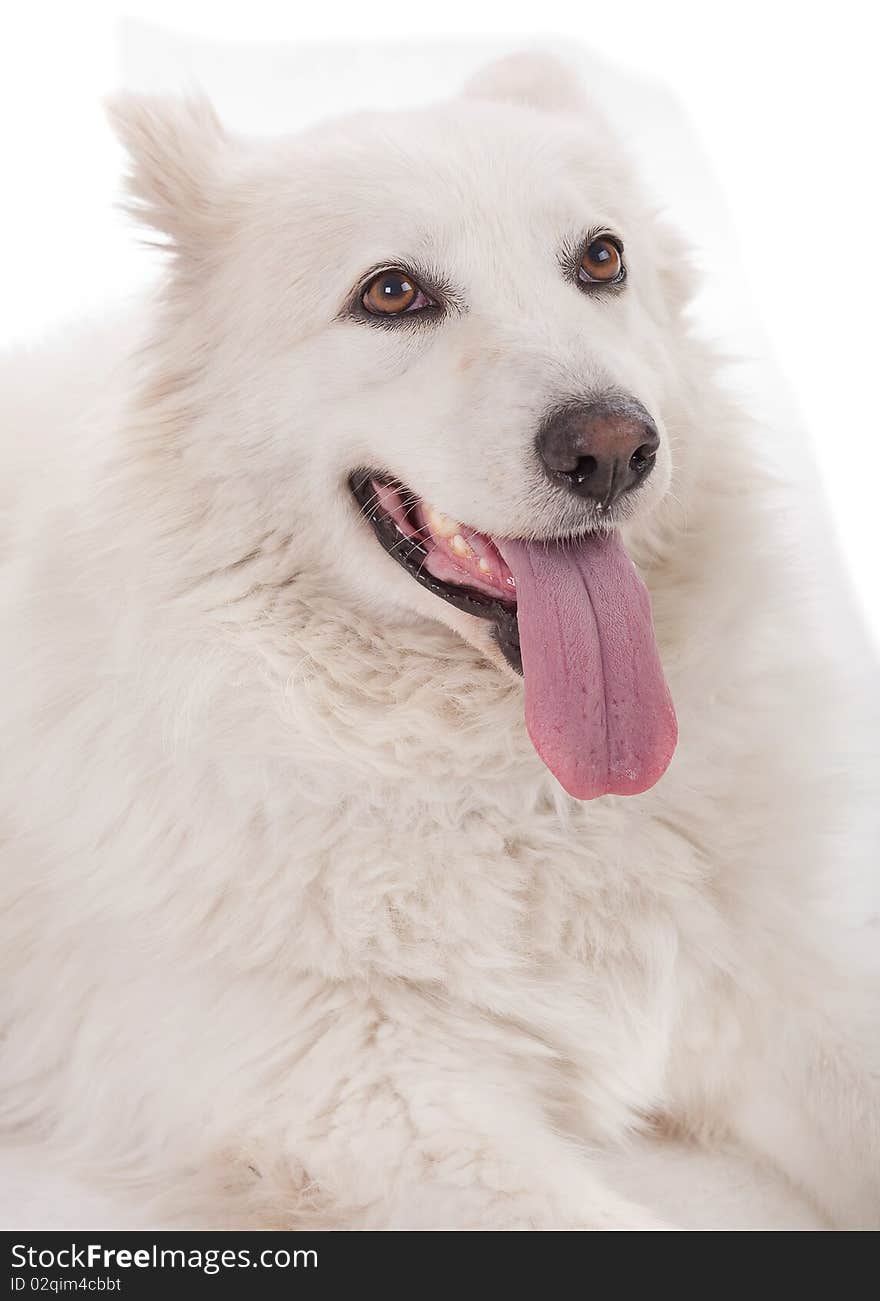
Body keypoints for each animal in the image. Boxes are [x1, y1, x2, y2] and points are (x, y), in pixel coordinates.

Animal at [1, 53, 879, 1228]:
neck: (519, 786)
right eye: (391, 293)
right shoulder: (372, 1100)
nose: (613, 448)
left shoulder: (771, 977)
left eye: (602, 259)